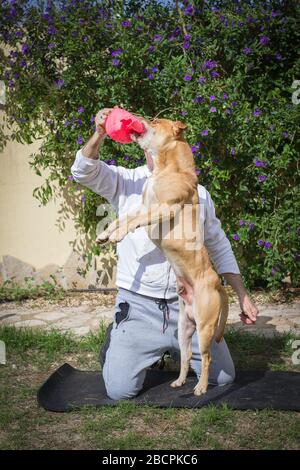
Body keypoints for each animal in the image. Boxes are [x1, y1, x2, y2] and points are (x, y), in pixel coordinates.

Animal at [97, 117, 229, 396]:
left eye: (155, 121)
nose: (138, 117)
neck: (168, 167)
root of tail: (216, 282)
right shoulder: (143, 206)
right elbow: (123, 218)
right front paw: (106, 234)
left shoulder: (162, 209)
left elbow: (132, 221)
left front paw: (118, 235)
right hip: (184, 328)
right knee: (187, 356)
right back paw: (179, 381)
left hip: (205, 327)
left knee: (207, 357)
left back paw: (201, 387)